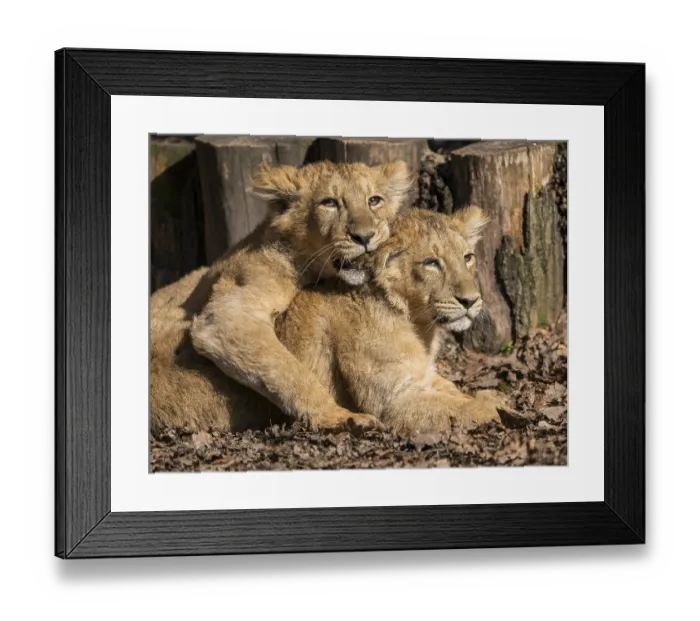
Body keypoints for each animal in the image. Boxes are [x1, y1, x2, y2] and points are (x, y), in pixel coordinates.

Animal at [150, 159, 413, 432]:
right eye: (329, 202)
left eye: (374, 200)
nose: (365, 237)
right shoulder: (228, 313)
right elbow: (285, 368)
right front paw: (337, 415)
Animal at [151, 206, 511, 435]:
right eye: (432, 263)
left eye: (467, 257)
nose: (471, 301)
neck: (420, 324)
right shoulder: (395, 401)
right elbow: (467, 410)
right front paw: (503, 411)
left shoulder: (422, 377)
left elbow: (457, 394)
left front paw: (493, 397)